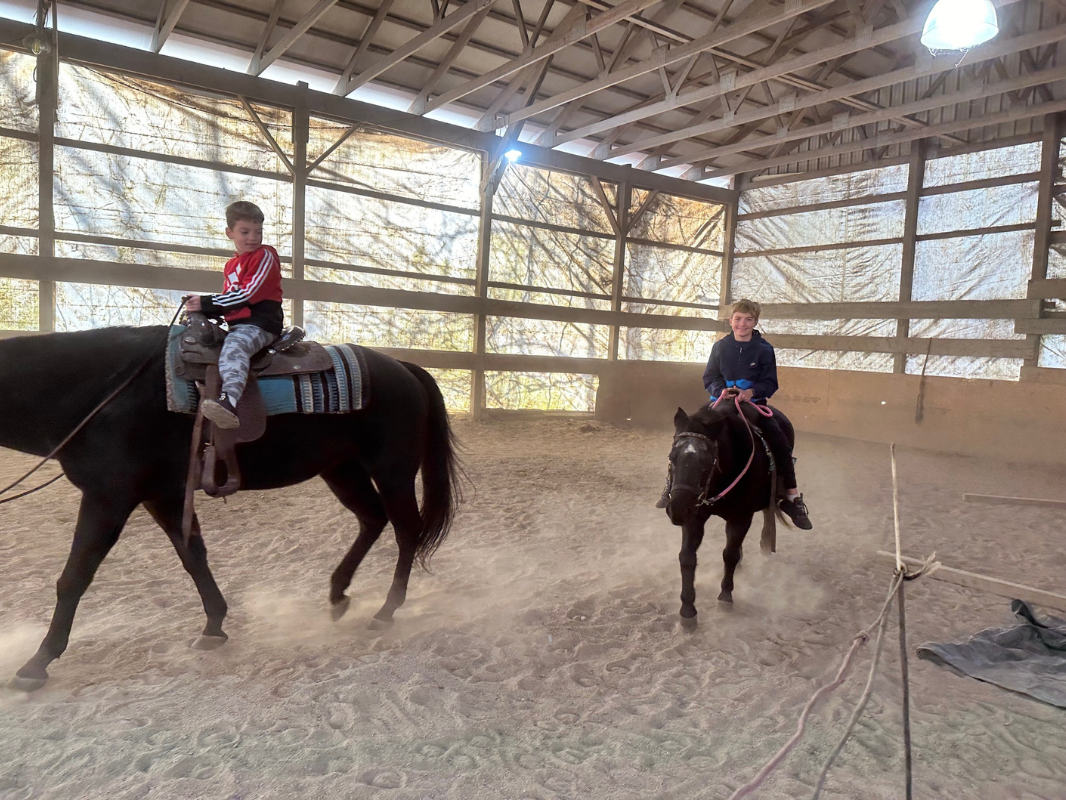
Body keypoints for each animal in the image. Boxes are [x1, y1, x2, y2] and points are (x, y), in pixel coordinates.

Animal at [0, 326, 460, 691]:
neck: (104, 392)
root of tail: (403, 367)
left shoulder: (109, 498)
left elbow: (74, 577)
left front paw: (37, 662)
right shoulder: (161, 496)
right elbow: (193, 557)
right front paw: (214, 626)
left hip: (392, 470)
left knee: (406, 530)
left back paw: (386, 610)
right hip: (342, 470)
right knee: (372, 519)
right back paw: (338, 593)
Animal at [665, 403, 793, 631]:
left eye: (707, 460)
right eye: (672, 457)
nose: (678, 509)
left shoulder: (741, 517)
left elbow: (729, 555)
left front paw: (725, 597)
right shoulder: (694, 516)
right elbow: (687, 557)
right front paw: (688, 610)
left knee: (767, 513)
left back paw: (766, 541)